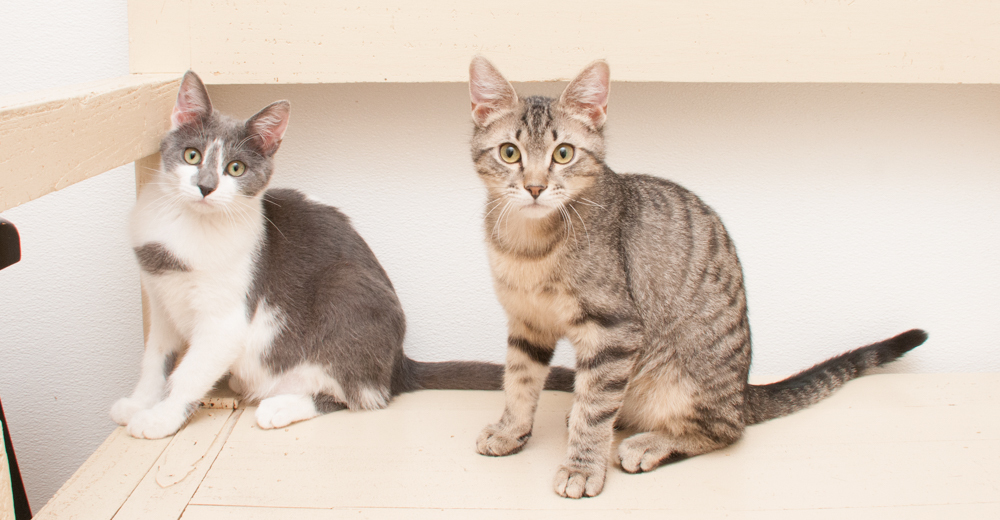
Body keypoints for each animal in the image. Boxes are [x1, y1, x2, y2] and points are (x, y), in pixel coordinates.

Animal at [113, 72, 572, 438]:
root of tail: (397, 363)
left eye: (235, 168)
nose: (206, 187)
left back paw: (281, 405)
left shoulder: (226, 319)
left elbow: (189, 372)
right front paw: (139, 402)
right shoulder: (161, 304)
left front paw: (160, 418)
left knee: (364, 395)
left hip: (345, 290)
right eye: (192, 155)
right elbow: (156, 360)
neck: (187, 230)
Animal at [468, 54, 928, 498]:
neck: (529, 245)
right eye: (509, 153)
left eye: (563, 154)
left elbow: (594, 408)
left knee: (723, 430)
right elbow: (520, 380)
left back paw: (648, 443)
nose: (534, 187)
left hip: (685, 377)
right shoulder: (527, 321)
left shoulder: (615, 330)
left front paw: (582, 466)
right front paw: (511, 430)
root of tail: (742, 391)